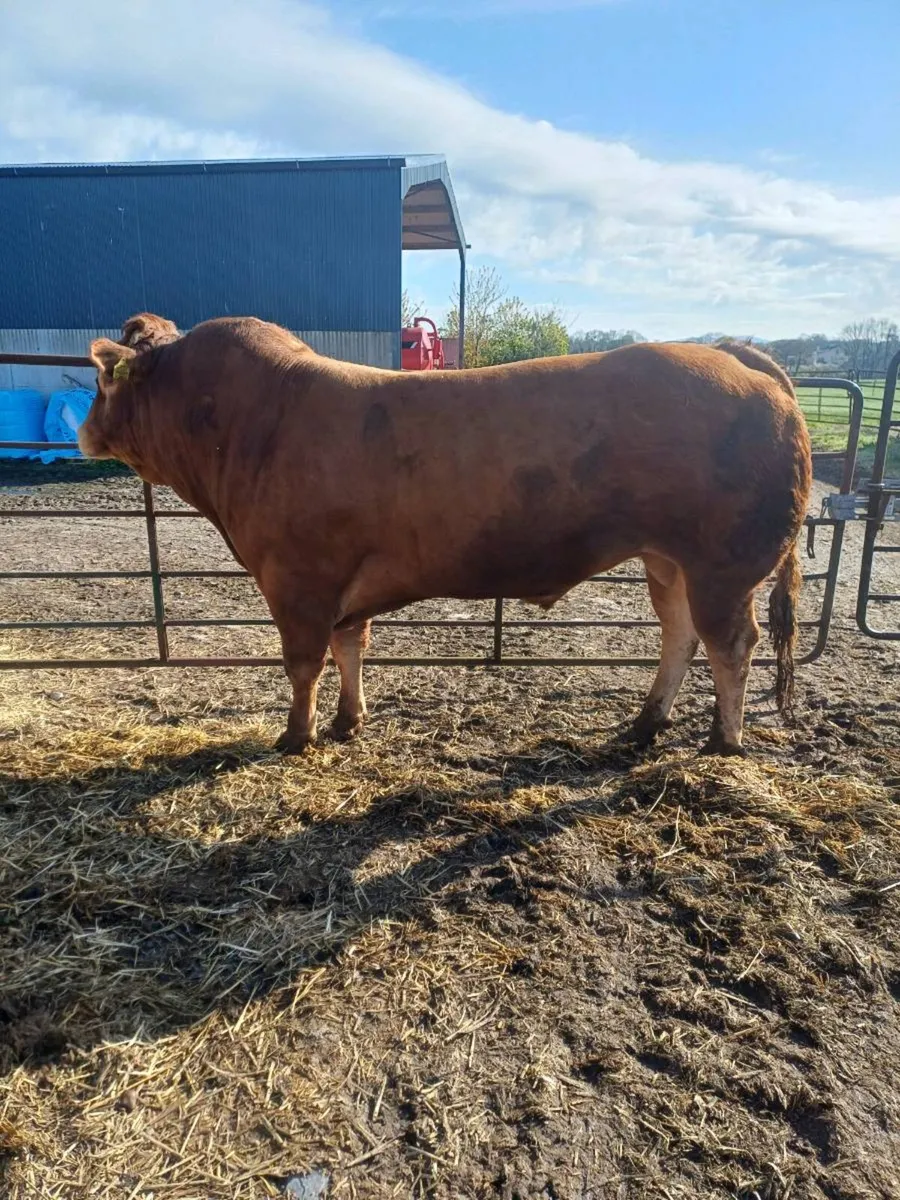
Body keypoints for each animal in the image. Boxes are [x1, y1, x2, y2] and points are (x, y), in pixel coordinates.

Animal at [79, 315, 811, 758]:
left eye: (101, 382)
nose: (83, 430)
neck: (247, 421)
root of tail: (731, 354)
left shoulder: (297, 580)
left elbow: (303, 663)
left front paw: (296, 736)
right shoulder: (342, 586)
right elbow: (351, 648)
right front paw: (348, 722)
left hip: (723, 565)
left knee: (731, 645)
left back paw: (723, 742)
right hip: (668, 560)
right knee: (679, 633)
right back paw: (645, 723)